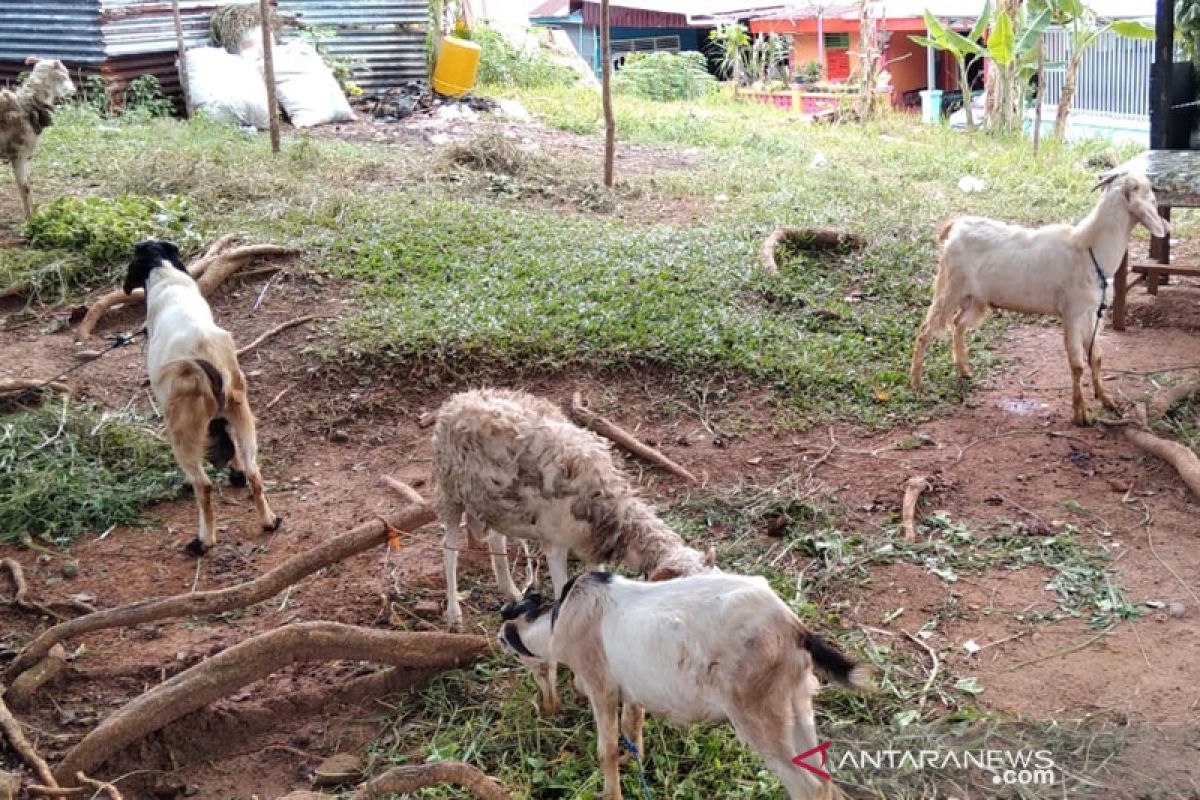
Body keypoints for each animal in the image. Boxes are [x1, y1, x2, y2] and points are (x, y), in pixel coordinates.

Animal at [0, 57, 76, 217]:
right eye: (64, 74)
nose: (74, 91)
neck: (26, 105)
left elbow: (28, 183)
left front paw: (35, 213)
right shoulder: (17, 154)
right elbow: (25, 187)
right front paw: (30, 219)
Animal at [123, 239, 280, 556]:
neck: (166, 276)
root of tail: (205, 357)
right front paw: (235, 474)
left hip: (181, 433)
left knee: (203, 486)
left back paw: (203, 541)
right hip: (242, 414)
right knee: (254, 472)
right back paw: (268, 520)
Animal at [432, 388, 710, 623]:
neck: (611, 510)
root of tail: (457, 400)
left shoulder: (592, 546)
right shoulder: (554, 544)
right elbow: (560, 593)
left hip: (495, 503)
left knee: (496, 539)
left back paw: (510, 591)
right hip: (449, 492)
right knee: (449, 551)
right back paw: (454, 612)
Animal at [499, 573, 873, 800]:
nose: (548, 707)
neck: (559, 618)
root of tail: (795, 629)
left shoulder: (599, 684)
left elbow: (606, 749)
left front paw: (612, 789)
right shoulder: (633, 688)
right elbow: (632, 724)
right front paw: (632, 760)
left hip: (758, 712)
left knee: (806, 784)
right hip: (794, 700)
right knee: (822, 776)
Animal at [912, 172, 1166, 429]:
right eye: (1147, 190)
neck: (1089, 249)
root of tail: (954, 226)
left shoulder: (1095, 314)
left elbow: (1096, 358)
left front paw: (1107, 401)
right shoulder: (1072, 313)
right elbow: (1077, 365)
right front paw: (1081, 414)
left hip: (974, 298)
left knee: (958, 323)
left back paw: (964, 370)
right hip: (950, 286)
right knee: (925, 330)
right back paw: (916, 381)